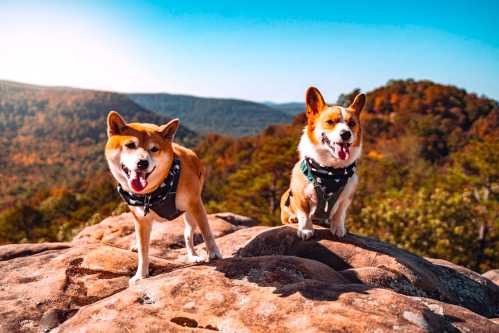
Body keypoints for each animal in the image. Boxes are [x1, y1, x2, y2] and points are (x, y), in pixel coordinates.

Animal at [106, 111, 223, 282]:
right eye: (130, 145)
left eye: (154, 149)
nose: (142, 163)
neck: (153, 193)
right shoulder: (141, 220)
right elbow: (143, 251)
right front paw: (140, 275)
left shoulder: (195, 203)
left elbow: (207, 231)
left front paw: (214, 252)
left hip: (190, 215)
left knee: (187, 235)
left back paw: (194, 256)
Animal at [282, 86, 368, 239]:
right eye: (330, 122)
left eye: (352, 124)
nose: (346, 134)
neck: (330, 170)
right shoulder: (300, 196)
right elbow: (304, 215)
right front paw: (305, 230)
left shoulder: (345, 199)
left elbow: (340, 214)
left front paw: (338, 229)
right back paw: (292, 218)